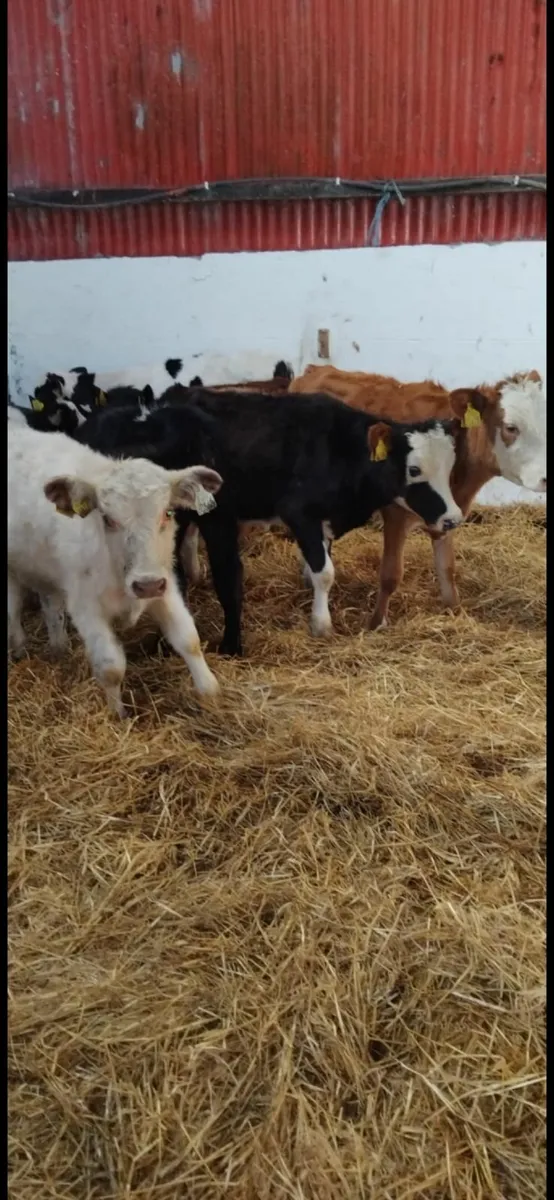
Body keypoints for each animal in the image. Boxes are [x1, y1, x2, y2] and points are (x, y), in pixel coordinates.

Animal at [8, 422, 222, 715]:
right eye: (108, 519)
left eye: (167, 513)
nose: (146, 585)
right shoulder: (86, 607)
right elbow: (110, 667)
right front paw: (117, 715)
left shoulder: (164, 585)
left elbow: (188, 639)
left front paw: (211, 694)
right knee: (12, 609)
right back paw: (19, 646)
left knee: (50, 605)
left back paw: (59, 648)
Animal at [73, 387, 471, 657]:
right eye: (414, 469)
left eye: (451, 467)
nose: (452, 518)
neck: (341, 450)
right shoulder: (297, 512)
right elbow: (323, 573)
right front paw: (321, 625)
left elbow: (319, 566)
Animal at [290, 365, 547, 626]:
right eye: (511, 428)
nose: (546, 477)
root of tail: (317, 369)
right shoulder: (395, 514)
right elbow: (391, 574)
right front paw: (376, 624)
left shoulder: (450, 516)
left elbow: (447, 569)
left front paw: (455, 611)